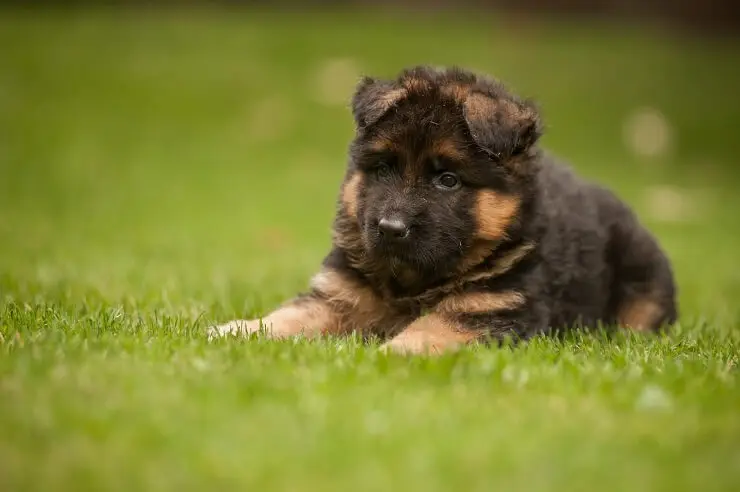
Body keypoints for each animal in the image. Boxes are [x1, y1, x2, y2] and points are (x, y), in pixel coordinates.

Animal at [207, 65, 676, 354]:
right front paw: (231, 331)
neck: (412, 282)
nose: (390, 228)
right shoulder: (339, 295)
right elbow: (289, 316)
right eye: (383, 168)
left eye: (447, 179)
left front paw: (391, 353)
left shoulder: (489, 309)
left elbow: (433, 327)